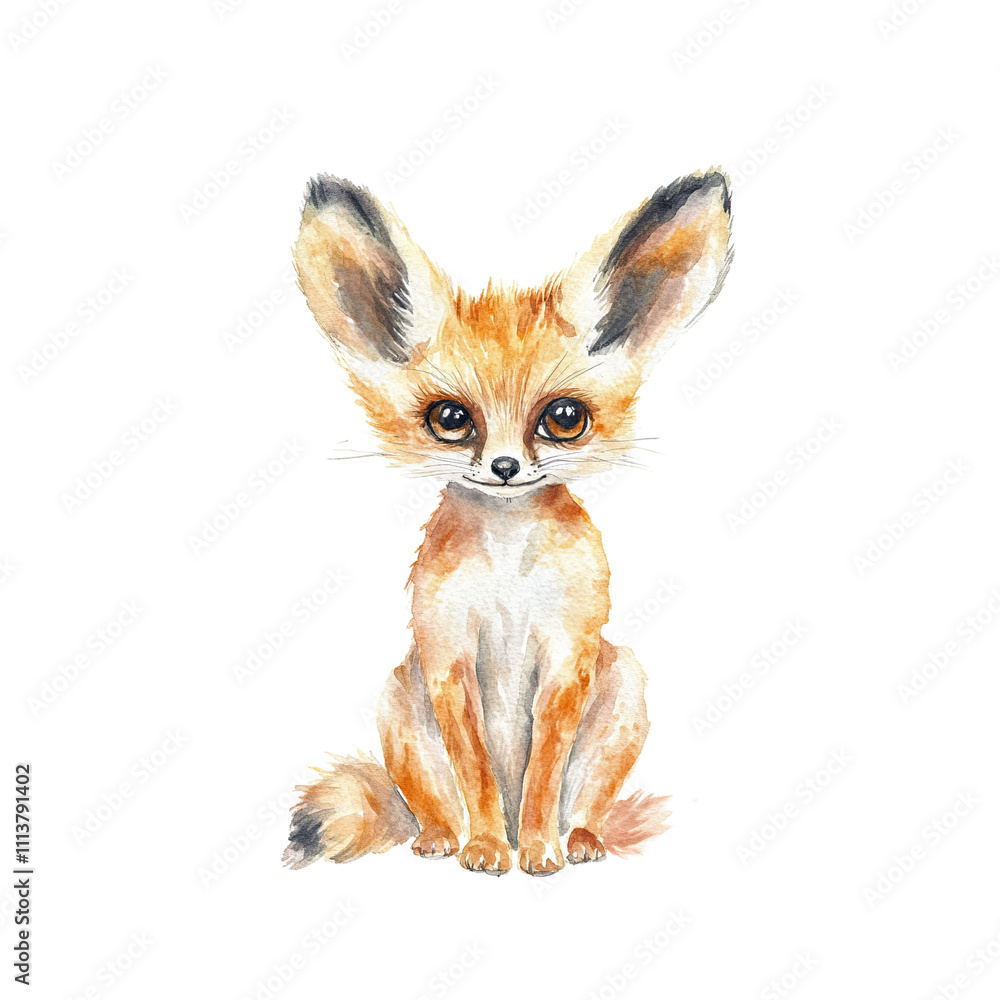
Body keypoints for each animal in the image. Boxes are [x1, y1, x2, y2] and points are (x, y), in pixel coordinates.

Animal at [283, 170, 733, 876]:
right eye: (450, 419)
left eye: (564, 418)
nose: (503, 467)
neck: (508, 575)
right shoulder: (447, 656)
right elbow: (477, 773)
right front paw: (489, 846)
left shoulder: (568, 655)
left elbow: (545, 770)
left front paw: (540, 850)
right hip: (398, 699)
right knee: (435, 805)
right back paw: (446, 837)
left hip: (624, 688)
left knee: (584, 805)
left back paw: (574, 840)